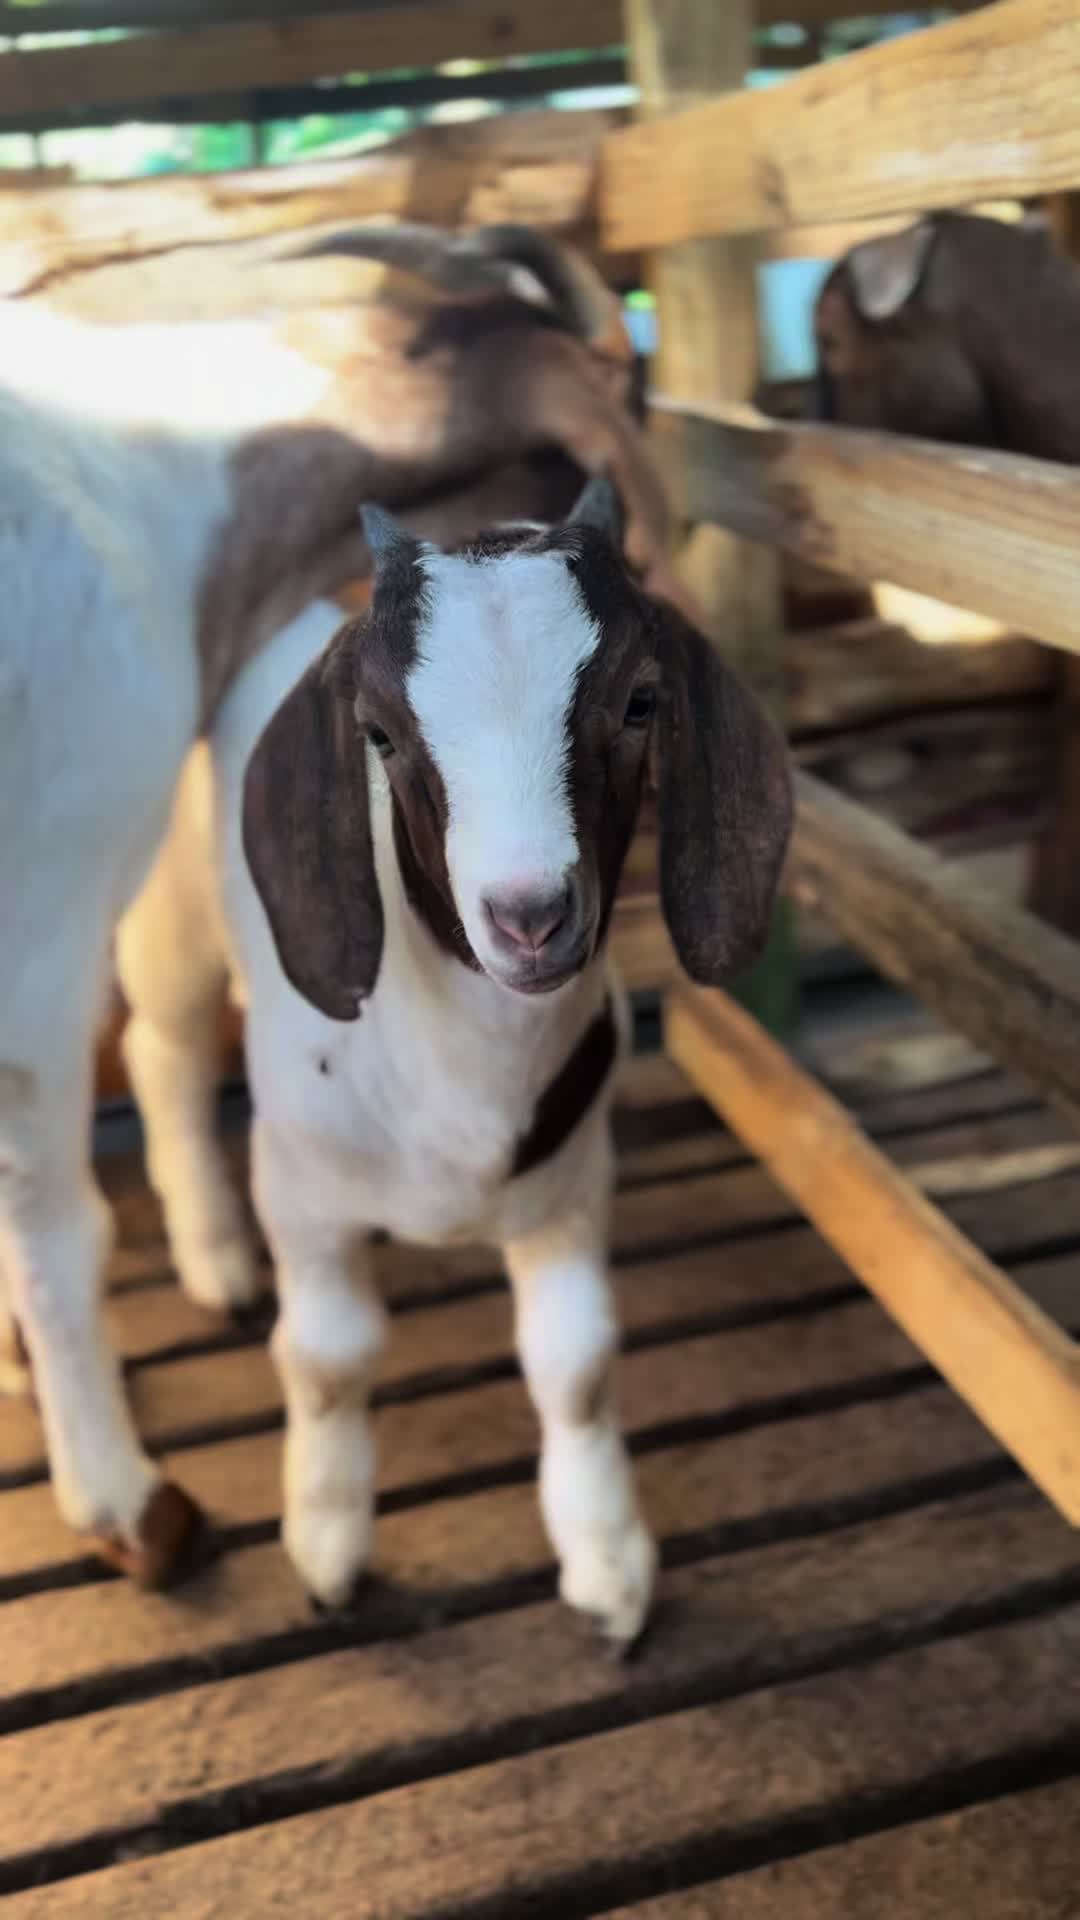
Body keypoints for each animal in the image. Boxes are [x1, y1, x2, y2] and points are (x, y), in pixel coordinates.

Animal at [115, 479, 793, 1632]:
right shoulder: (303, 1191)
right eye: (378, 733)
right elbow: (328, 1358)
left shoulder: (572, 1188)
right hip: (172, 911)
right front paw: (327, 1547)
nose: (529, 918)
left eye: (640, 702)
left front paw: (608, 1565)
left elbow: (577, 1364)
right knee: (158, 1043)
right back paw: (214, 1256)